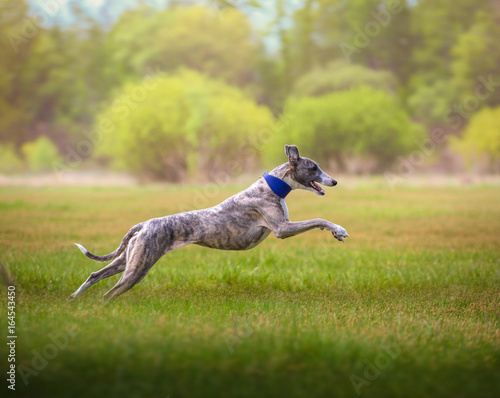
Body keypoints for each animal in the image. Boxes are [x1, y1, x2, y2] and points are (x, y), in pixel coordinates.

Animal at [70, 145, 350, 300]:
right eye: (313, 168)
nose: (335, 181)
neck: (272, 186)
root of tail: (143, 224)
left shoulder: (284, 226)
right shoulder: (282, 229)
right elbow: (318, 219)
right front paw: (338, 229)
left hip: (127, 260)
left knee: (94, 275)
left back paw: (73, 300)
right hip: (138, 267)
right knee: (108, 294)